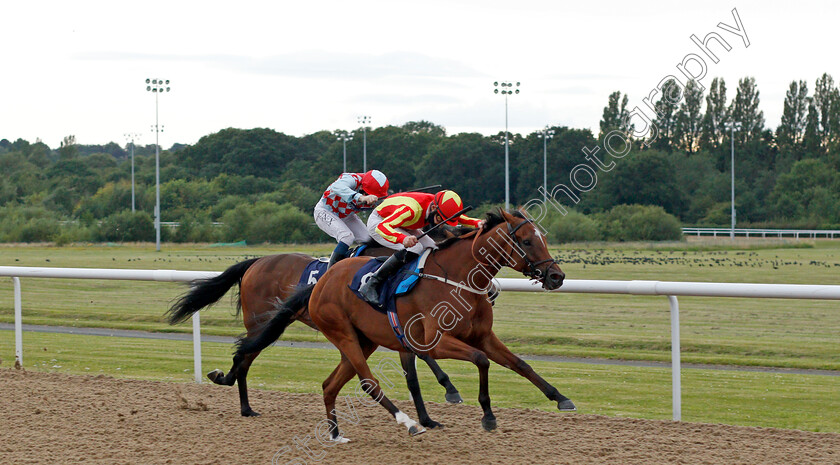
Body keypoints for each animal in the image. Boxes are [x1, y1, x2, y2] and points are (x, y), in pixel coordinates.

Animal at [167, 241, 462, 416]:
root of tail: (255, 262)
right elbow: (423, 354)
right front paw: (450, 388)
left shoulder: (397, 323)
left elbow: (417, 363)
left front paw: (443, 394)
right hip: (260, 323)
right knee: (244, 357)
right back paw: (242, 402)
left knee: (244, 357)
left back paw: (236, 395)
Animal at [240, 209, 576, 438]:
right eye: (527, 241)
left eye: (544, 239)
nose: (556, 276)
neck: (459, 279)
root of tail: (321, 282)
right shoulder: (434, 341)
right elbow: (479, 361)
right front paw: (484, 412)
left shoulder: (483, 336)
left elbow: (520, 364)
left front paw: (560, 398)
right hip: (341, 333)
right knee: (368, 382)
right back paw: (409, 423)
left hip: (364, 340)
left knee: (329, 384)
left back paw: (335, 434)